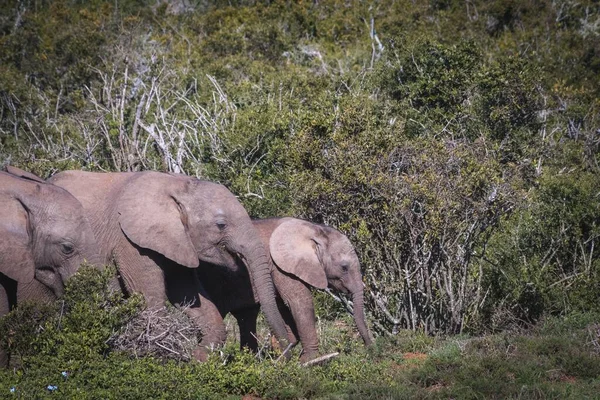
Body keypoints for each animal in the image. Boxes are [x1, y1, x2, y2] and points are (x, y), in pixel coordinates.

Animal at [49, 170, 288, 358]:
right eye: (221, 225)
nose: (283, 355)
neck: (177, 185)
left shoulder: (178, 240)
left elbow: (186, 294)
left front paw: (195, 361)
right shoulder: (128, 240)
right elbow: (150, 300)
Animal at [197, 217, 376, 364]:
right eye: (344, 267)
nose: (369, 348)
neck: (312, 229)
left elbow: (284, 305)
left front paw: (283, 349)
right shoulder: (281, 265)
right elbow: (299, 301)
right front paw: (310, 360)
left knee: (247, 316)